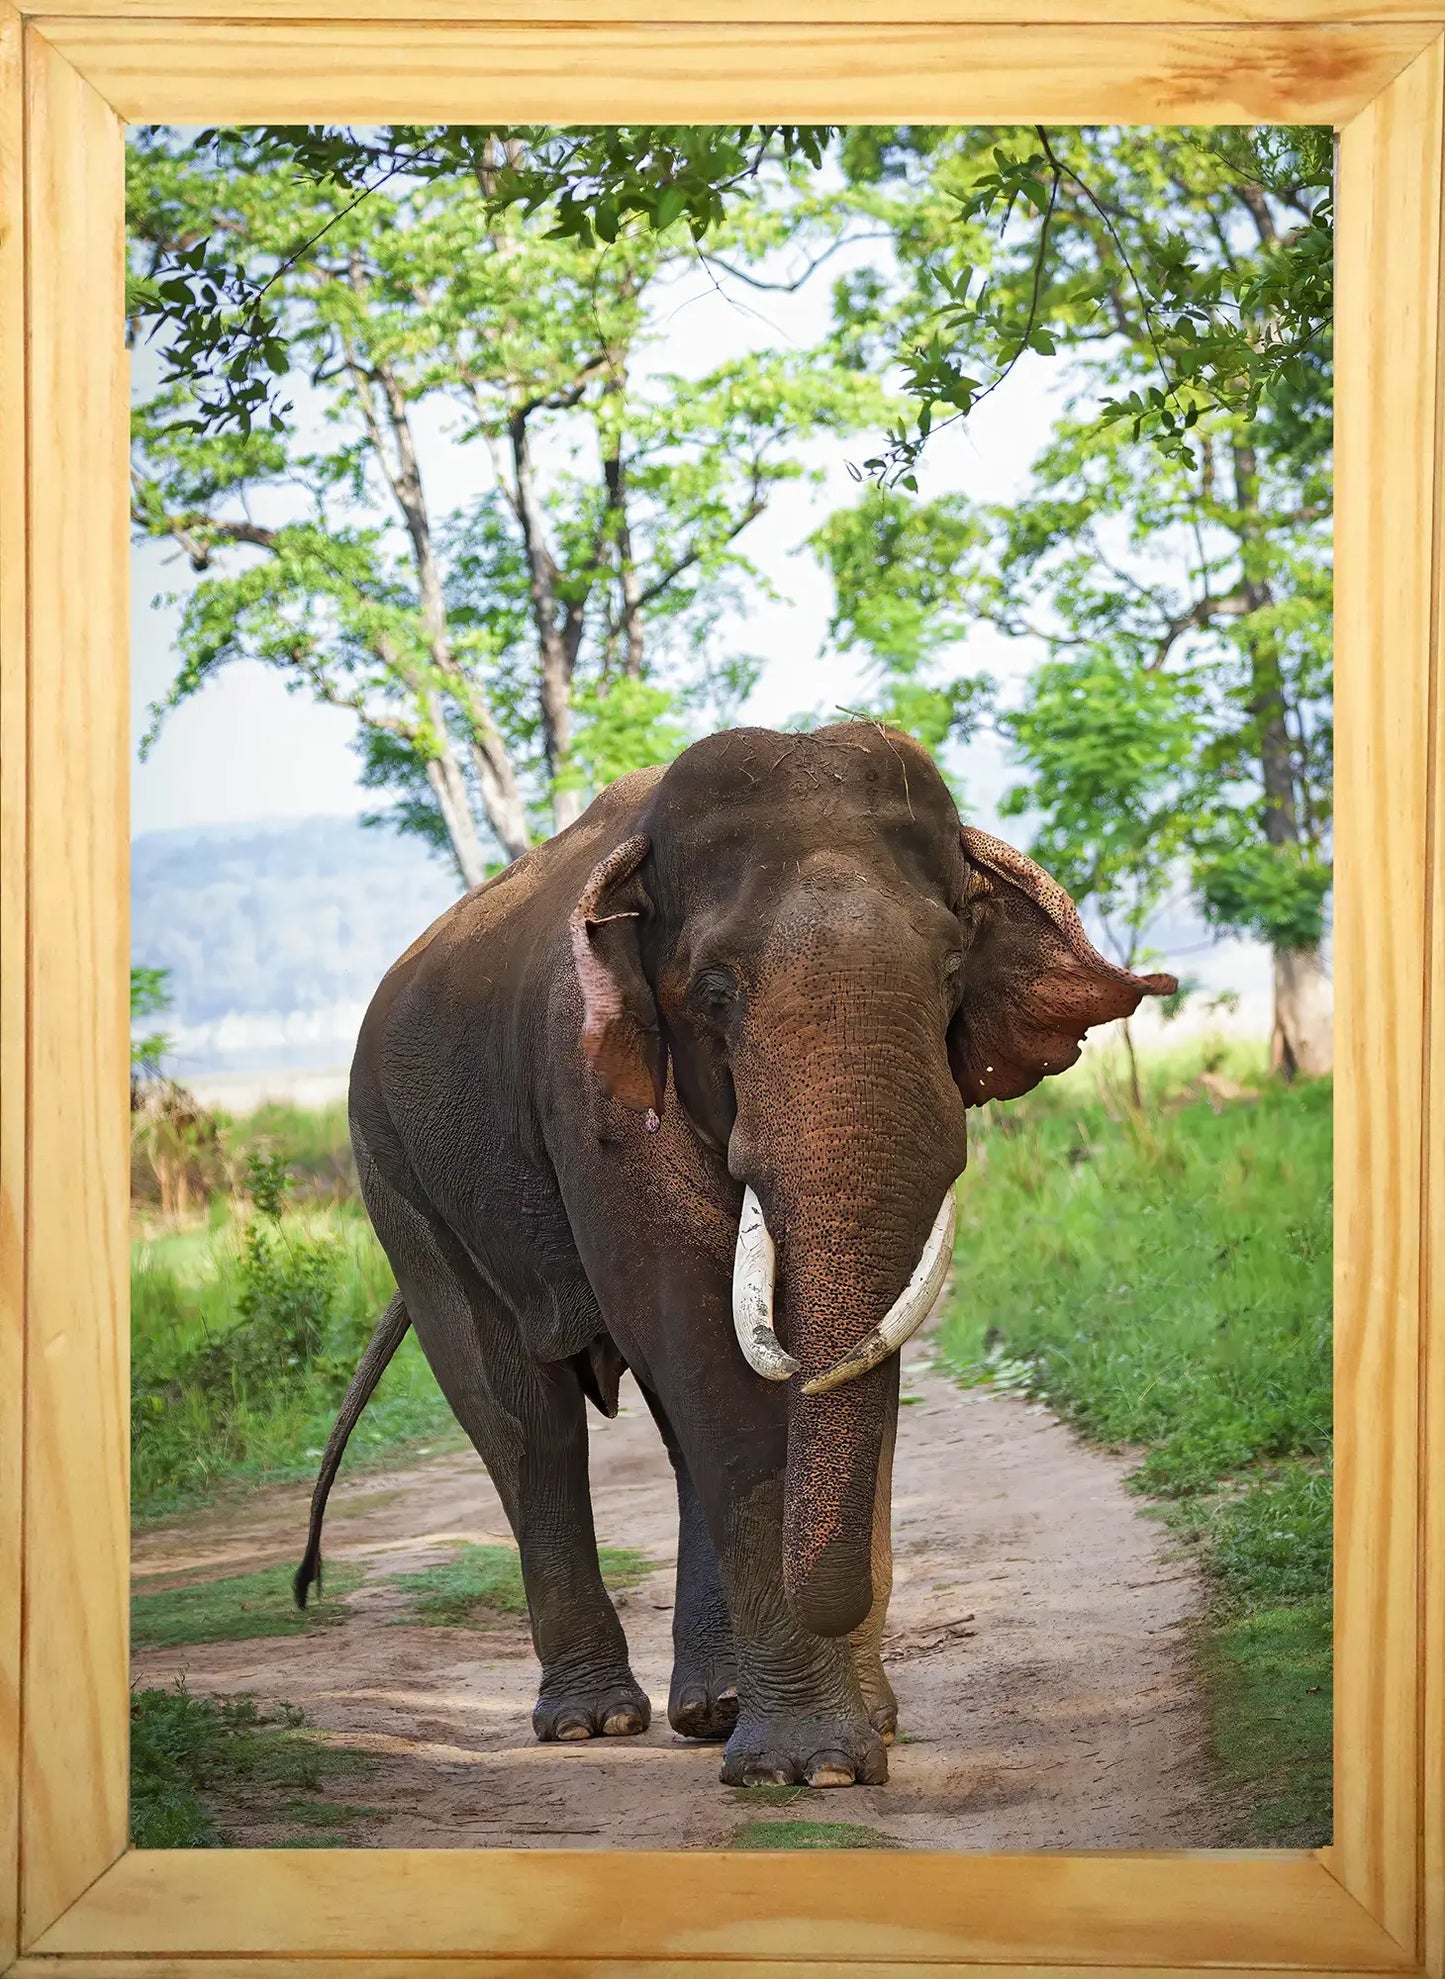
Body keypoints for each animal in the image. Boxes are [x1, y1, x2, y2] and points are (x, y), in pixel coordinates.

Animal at [295, 720, 1175, 1790]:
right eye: (713, 993)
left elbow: (826, 1362)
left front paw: (859, 1733)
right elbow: (701, 1344)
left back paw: (709, 1711)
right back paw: (592, 1723)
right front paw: (810, 1768)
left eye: (949, 976)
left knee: (662, 1432)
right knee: (522, 1418)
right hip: (393, 1169)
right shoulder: (592, 1092)